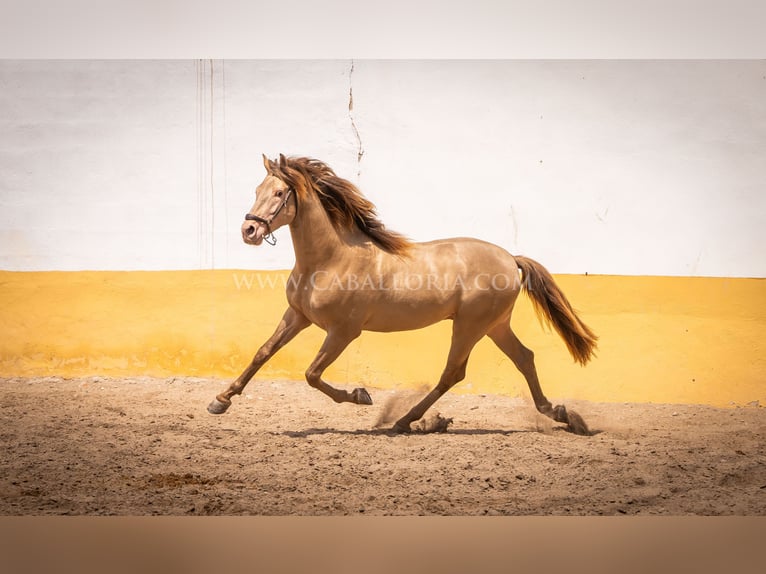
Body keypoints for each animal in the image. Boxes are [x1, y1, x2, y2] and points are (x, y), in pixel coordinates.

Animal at [210, 155, 600, 434]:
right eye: (256, 189)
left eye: (279, 193)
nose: (249, 230)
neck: (331, 259)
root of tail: (510, 258)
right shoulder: (298, 316)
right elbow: (263, 353)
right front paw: (220, 401)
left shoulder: (343, 332)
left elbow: (312, 374)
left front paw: (361, 396)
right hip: (494, 325)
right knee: (524, 358)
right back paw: (561, 414)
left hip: (471, 326)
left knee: (453, 373)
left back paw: (404, 421)